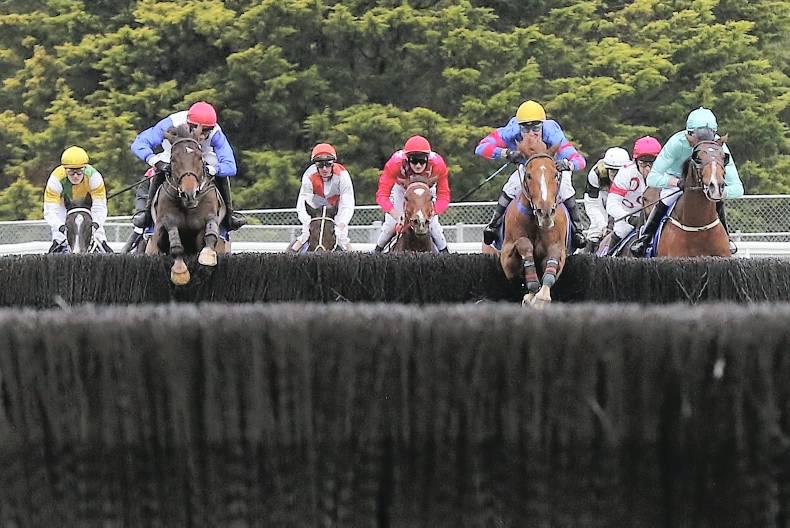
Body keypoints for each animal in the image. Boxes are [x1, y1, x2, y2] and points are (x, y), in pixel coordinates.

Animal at [145, 124, 227, 284]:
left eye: (200, 157)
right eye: (173, 159)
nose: (189, 194)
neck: (187, 205)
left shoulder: (210, 215)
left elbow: (211, 232)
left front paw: (207, 256)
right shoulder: (165, 221)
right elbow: (175, 242)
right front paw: (180, 272)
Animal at [498, 134, 566, 308]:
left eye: (555, 174)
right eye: (529, 175)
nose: (546, 212)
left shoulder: (559, 248)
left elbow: (554, 257)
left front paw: (540, 298)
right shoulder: (507, 259)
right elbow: (524, 243)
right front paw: (532, 288)